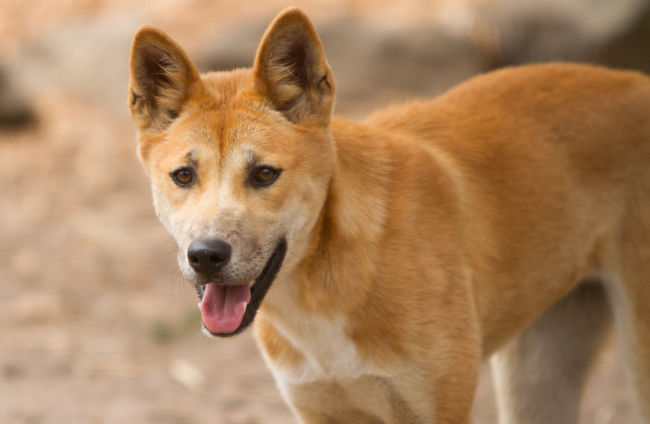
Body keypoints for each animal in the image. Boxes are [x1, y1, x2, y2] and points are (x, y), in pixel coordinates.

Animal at [126, 7, 648, 424]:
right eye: (184, 176)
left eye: (264, 174)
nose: (206, 256)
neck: (323, 291)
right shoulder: (322, 410)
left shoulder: (437, 407)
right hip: (537, 370)